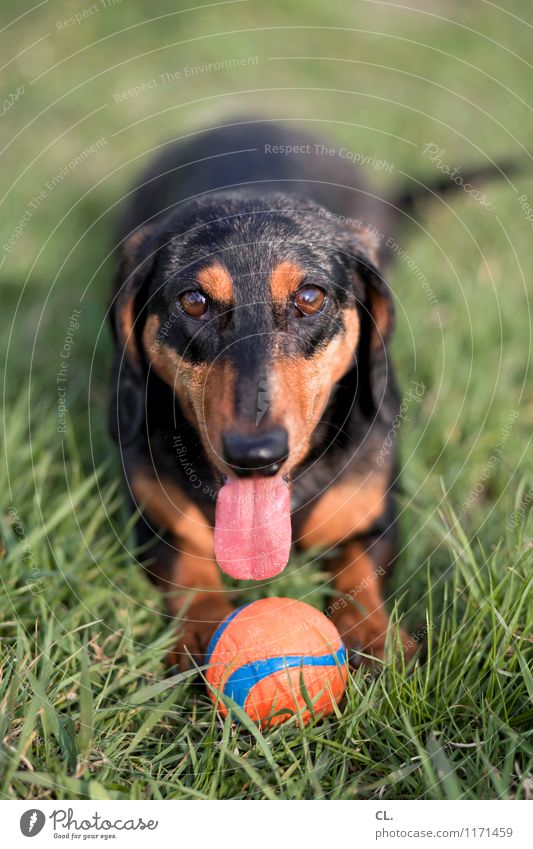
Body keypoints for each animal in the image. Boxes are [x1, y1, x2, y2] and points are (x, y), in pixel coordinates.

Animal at [107, 117, 502, 668]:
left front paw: (373, 637)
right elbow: (189, 566)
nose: (255, 455)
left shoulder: (375, 515)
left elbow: (359, 569)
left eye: (310, 297)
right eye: (194, 301)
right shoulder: (155, 520)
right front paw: (201, 634)